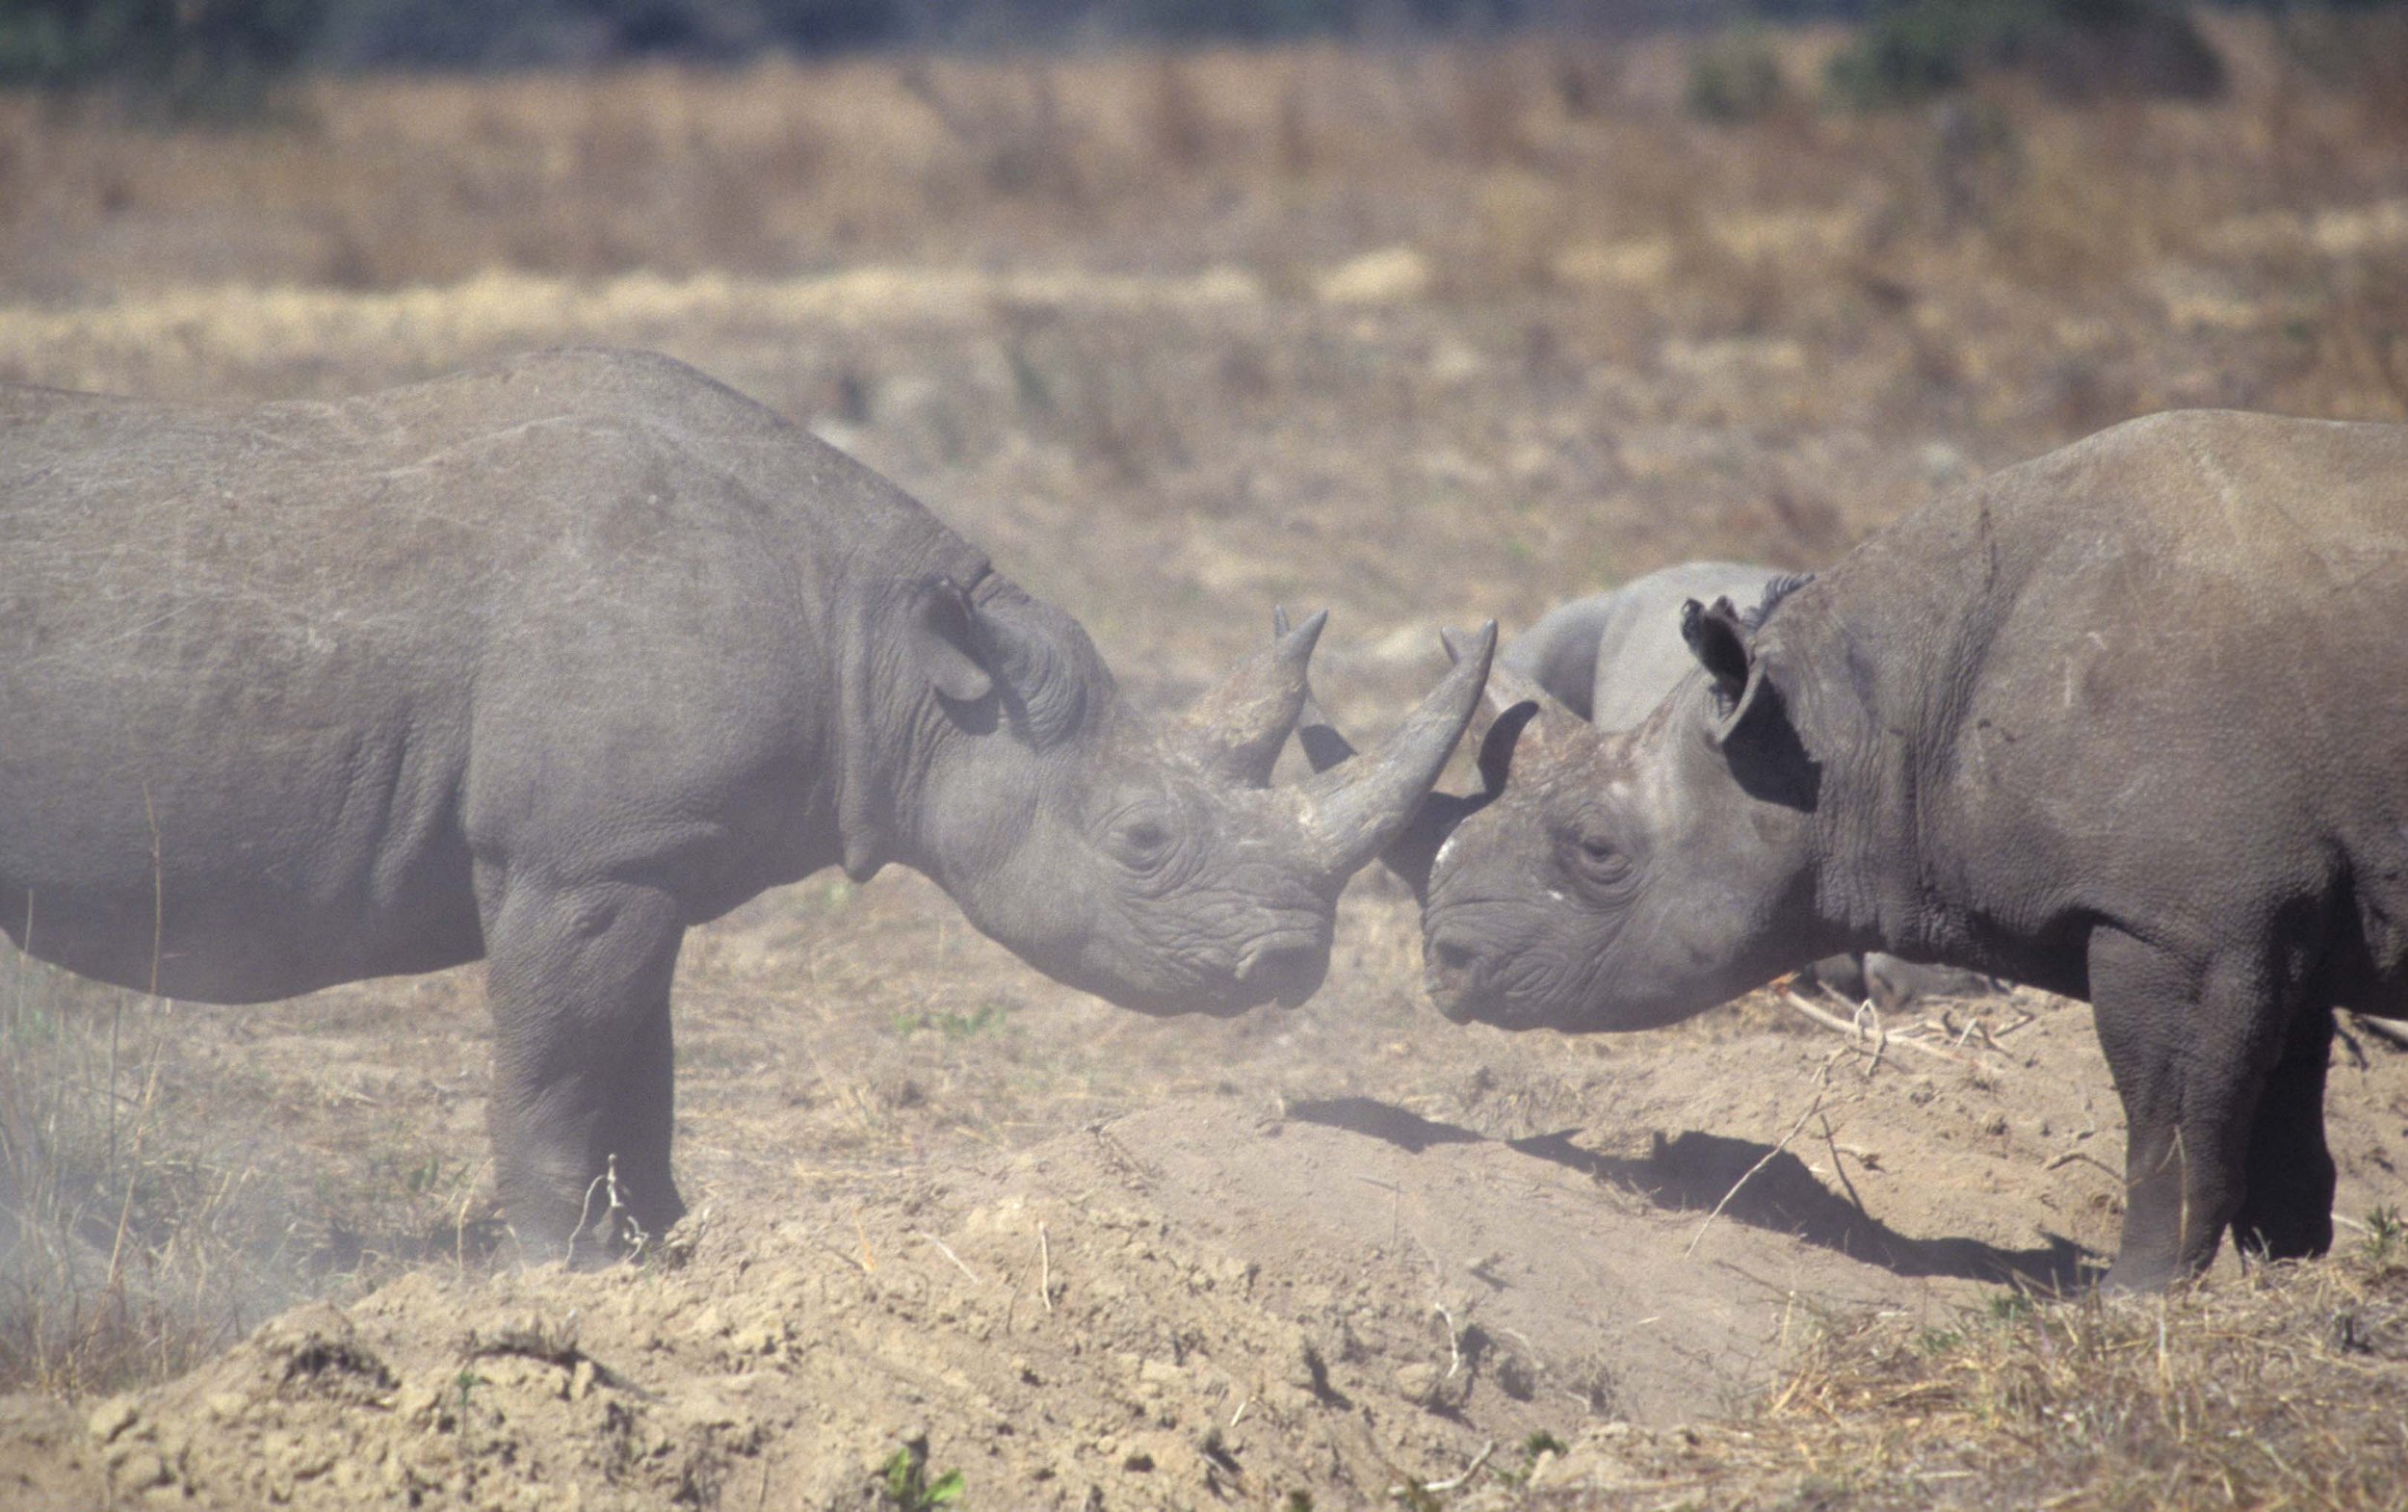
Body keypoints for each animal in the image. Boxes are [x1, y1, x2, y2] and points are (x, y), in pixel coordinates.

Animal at [0, 348, 1494, 1260]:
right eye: (1144, 841)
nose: (1292, 963)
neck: (897, 656)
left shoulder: (639, 854)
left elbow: (637, 1064)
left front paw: (664, 1246)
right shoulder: (575, 858)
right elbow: (559, 1067)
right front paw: (559, 1269)